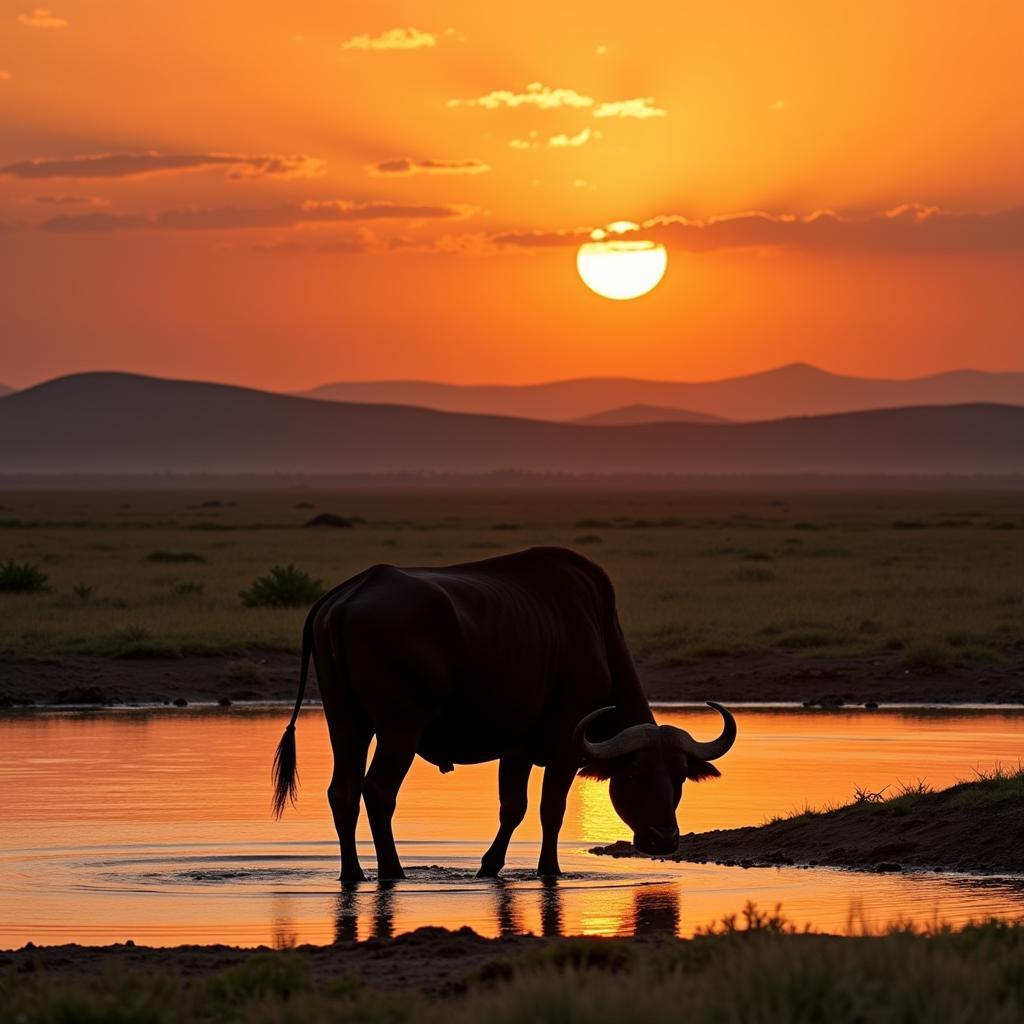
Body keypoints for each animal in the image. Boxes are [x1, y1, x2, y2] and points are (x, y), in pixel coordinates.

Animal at [272, 544, 737, 880]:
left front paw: (489, 867)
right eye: (636, 773)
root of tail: (348, 596)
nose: (664, 838)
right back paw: (392, 871)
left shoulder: (516, 751)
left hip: (346, 724)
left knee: (343, 792)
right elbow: (551, 809)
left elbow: (512, 807)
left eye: (680, 776)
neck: (595, 632)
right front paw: (549, 870)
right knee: (378, 791)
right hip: (398, 730)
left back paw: (353, 873)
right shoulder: (564, 749)